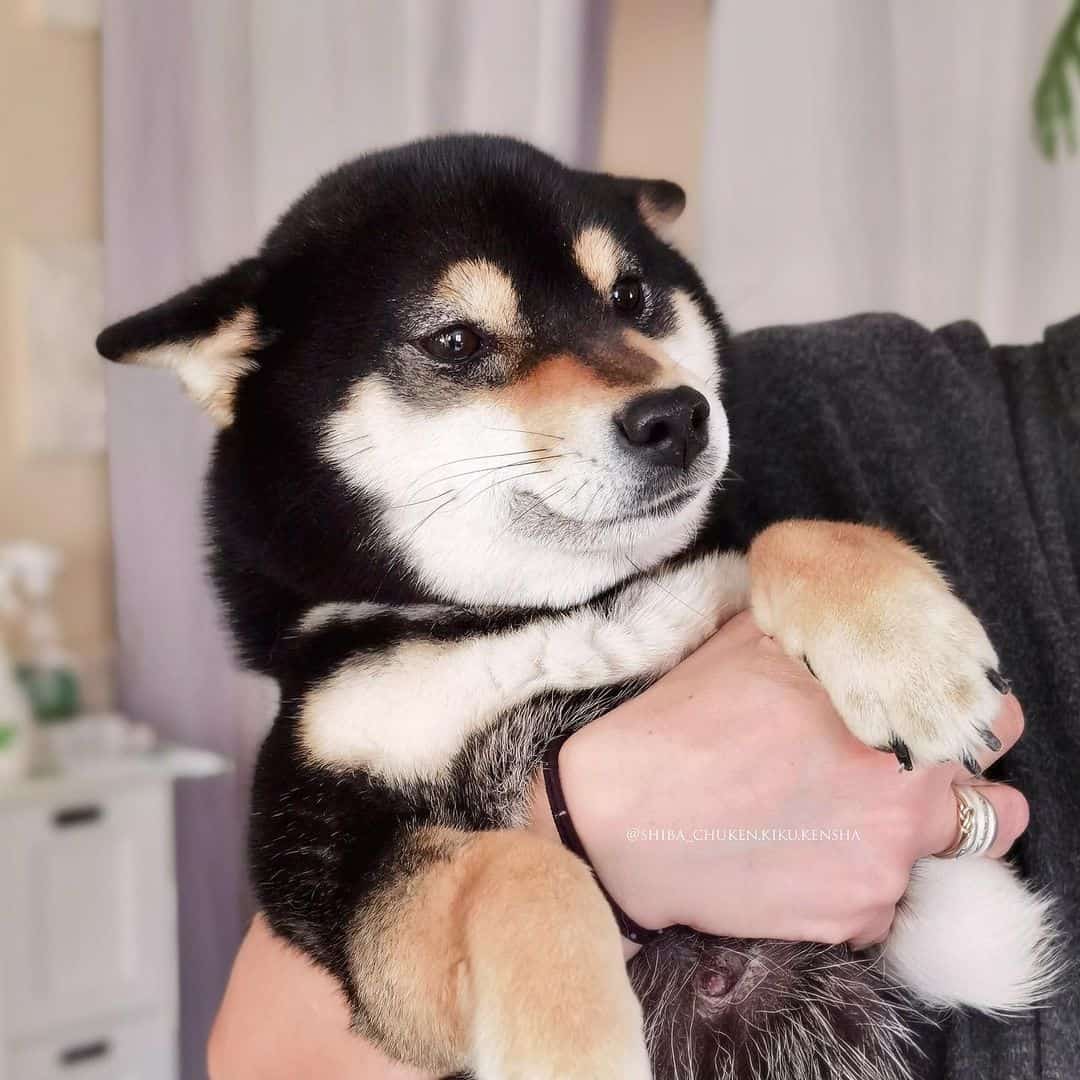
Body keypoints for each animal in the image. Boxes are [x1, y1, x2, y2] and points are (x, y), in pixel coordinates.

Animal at [97, 135, 1058, 1080]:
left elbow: (788, 532)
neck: (549, 615)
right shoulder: (324, 860)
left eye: (630, 295)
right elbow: (525, 870)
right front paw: (575, 1046)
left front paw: (913, 663)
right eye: (454, 340)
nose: (678, 416)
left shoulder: (972, 922)